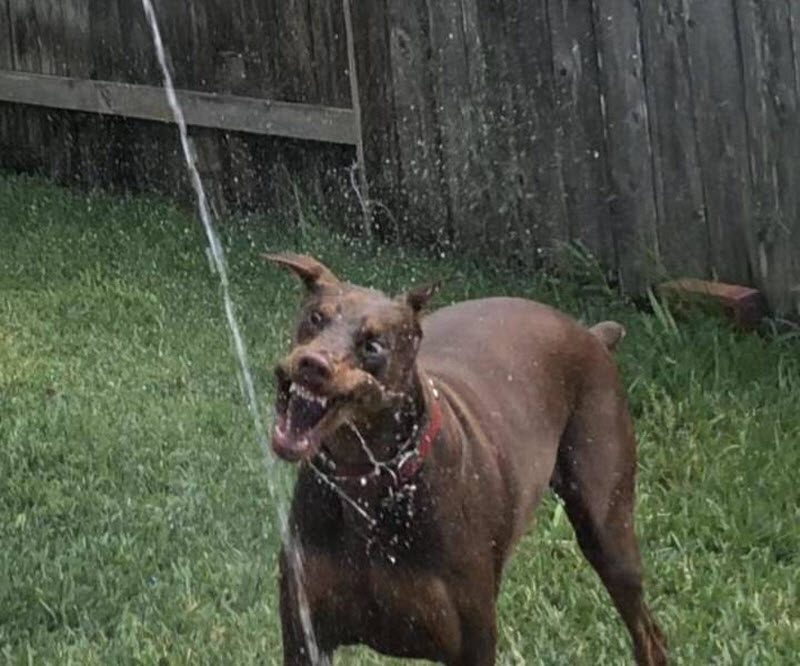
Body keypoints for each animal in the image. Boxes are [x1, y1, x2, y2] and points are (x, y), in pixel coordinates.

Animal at [266, 252, 664, 660]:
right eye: (316, 318)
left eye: (373, 346)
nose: (312, 363)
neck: (370, 485)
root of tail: (591, 335)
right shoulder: (304, 634)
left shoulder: (472, 641)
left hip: (606, 528)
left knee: (648, 633)